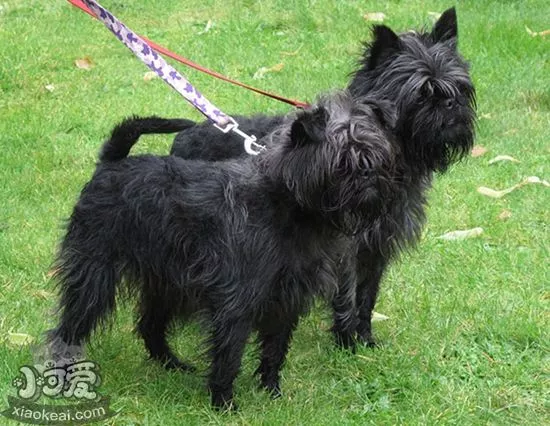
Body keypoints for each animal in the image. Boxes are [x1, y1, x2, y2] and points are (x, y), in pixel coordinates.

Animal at [48, 92, 402, 410]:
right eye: (341, 162)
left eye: (377, 156)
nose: (368, 174)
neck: (287, 208)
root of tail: (112, 163)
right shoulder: (237, 301)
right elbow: (229, 354)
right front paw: (224, 403)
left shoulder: (287, 299)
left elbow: (275, 348)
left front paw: (271, 392)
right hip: (95, 273)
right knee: (70, 326)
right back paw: (65, 373)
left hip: (168, 281)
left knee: (150, 325)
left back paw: (172, 364)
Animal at [171, 7, 478, 346]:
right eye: (422, 94)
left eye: (461, 88)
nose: (451, 104)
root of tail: (184, 135)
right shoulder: (345, 248)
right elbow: (347, 295)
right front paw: (347, 342)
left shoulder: (376, 249)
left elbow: (367, 295)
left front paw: (365, 337)